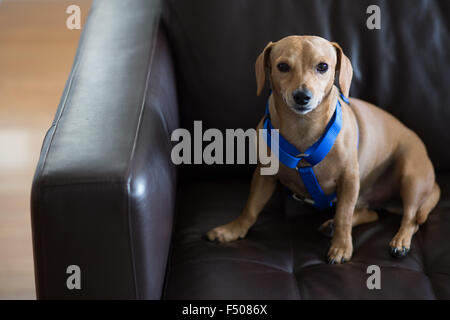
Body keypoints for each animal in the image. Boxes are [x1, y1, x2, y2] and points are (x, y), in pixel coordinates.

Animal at [207, 35, 440, 264]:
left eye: (323, 66)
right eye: (282, 66)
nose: (302, 96)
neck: (303, 129)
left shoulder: (349, 180)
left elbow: (343, 215)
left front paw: (341, 247)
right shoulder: (264, 175)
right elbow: (251, 208)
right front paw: (233, 230)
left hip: (411, 178)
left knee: (411, 218)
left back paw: (400, 241)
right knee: (372, 214)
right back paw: (332, 226)